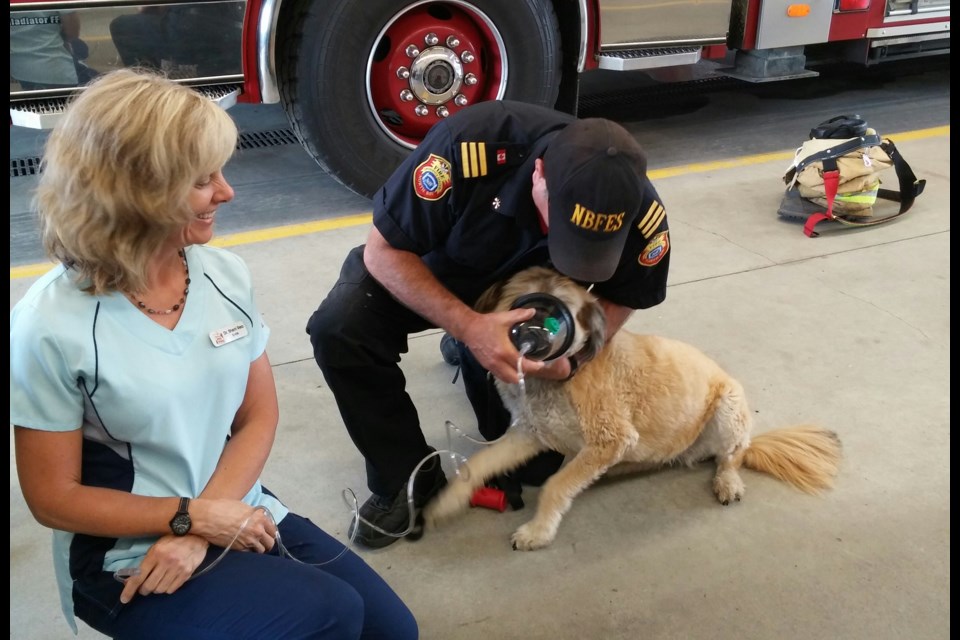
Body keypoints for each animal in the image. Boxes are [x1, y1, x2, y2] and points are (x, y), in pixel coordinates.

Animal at [424, 264, 844, 552]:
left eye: (560, 313)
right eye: (521, 306)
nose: (534, 337)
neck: (557, 379)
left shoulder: (610, 438)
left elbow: (555, 484)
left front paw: (538, 531)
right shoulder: (531, 433)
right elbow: (481, 462)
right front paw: (448, 501)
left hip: (729, 407)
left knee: (731, 457)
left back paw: (728, 481)